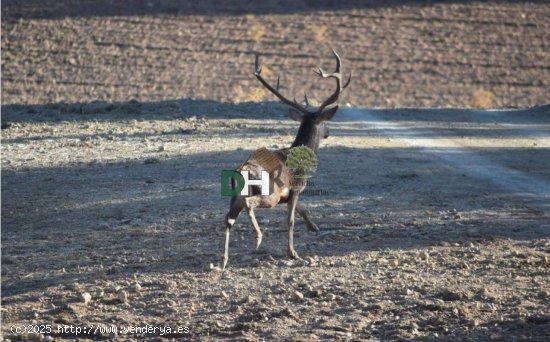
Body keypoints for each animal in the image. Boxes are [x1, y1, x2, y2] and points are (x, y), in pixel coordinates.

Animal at [222, 49, 352, 272]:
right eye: (324, 122)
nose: (328, 132)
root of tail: (241, 170)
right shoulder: (296, 188)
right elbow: (290, 219)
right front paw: (293, 252)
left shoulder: (288, 195)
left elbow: (302, 209)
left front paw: (314, 227)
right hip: (267, 193)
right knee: (249, 204)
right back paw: (258, 238)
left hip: (235, 196)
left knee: (227, 218)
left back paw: (224, 259)